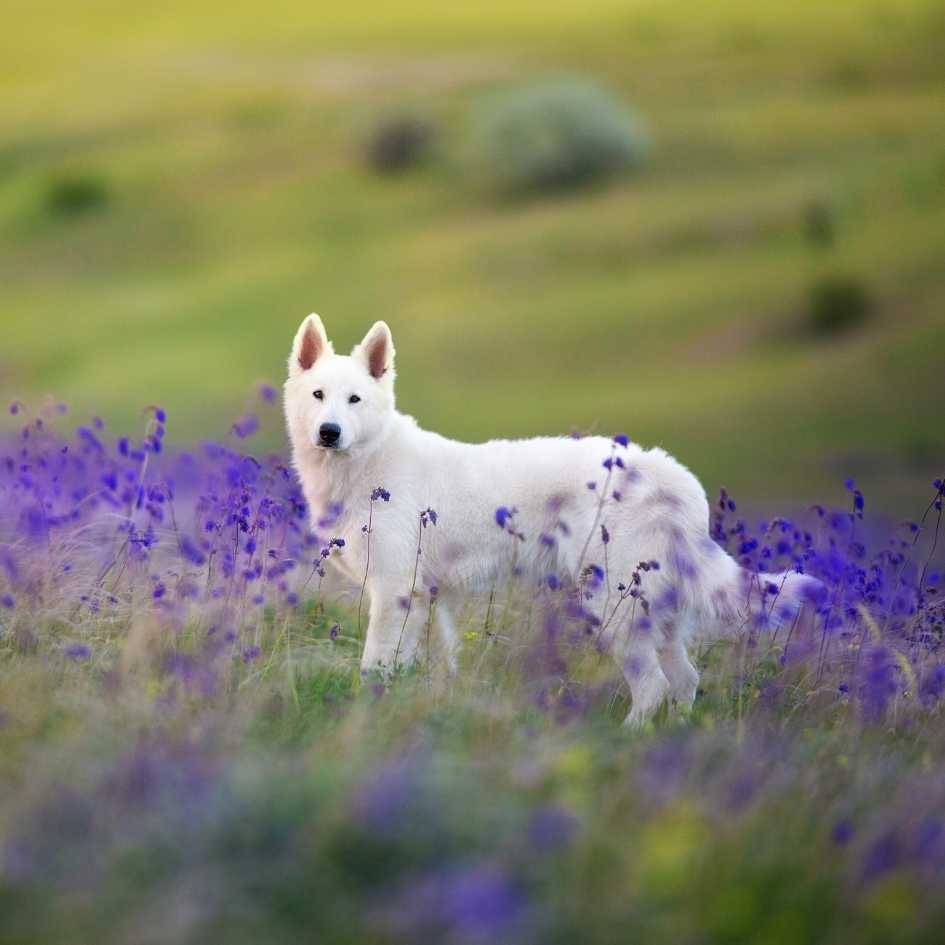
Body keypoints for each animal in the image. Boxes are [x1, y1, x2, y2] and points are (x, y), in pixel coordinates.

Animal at [282, 316, 820, 724]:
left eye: (354, 400)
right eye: (318, 395)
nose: (329, 432)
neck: (370, 462)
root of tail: (673, 478)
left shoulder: (394, 594)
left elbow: (373, 666)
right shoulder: (421, 601)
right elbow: (415, 666)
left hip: (614, 609)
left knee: (653, 688)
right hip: (655, 614)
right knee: (685, 682)